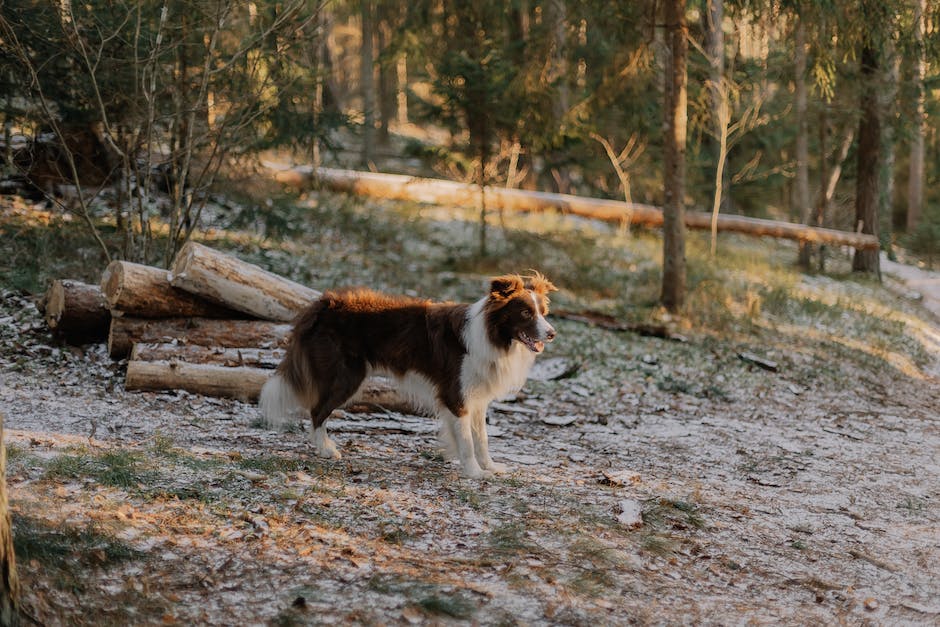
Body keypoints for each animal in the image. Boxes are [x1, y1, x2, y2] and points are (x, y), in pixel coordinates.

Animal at [258, 274, 560, 476]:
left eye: (543, 312)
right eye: (525, 313)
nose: (552, 333)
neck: (492, 334)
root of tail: (324, 303)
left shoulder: (476, 397)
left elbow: (481, 438)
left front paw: (490, 467)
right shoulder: (456, 395)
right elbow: (466, 442)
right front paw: (474, 473)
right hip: (346, 377)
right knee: (317, 411)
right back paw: (326, 449)